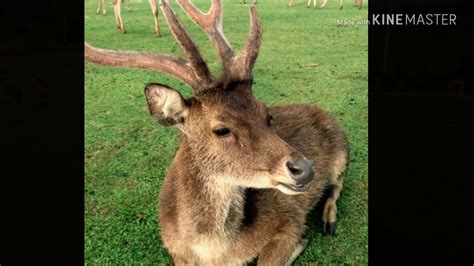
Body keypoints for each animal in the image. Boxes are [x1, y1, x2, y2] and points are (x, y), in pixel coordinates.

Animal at [84, 0, 348, 264]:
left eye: (267, 115)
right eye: (221, 129)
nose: (305, 168)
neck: (215, 250)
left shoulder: (289, 218)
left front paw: (301, 242)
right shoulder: (173, 248)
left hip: (342, 151)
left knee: (337, 186)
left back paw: (329, 220)